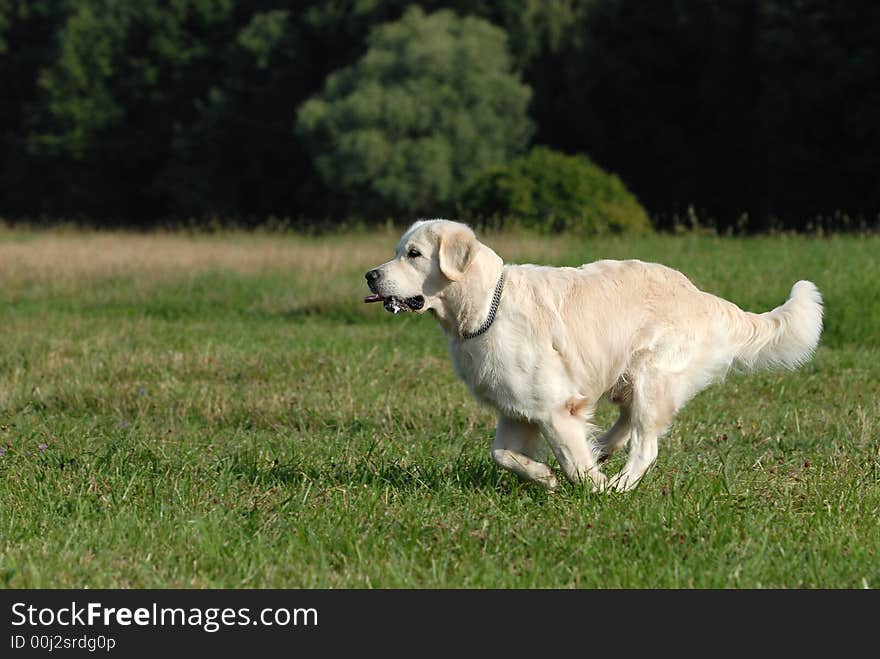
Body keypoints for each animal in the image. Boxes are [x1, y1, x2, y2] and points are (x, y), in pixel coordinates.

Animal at [362, 219, 820, 492]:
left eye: (414, 254)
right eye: (399, 251)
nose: (370, 275)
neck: (486, 304)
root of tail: (704, 298)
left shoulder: (554, 409)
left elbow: (573, 463)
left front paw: (593, 489)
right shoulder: (516, 411)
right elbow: (503, 455)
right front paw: (545, 478)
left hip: (652, 375)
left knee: (645, 446)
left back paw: (617, 484)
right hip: (628, 378)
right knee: (626, 423)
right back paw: (602, 447)